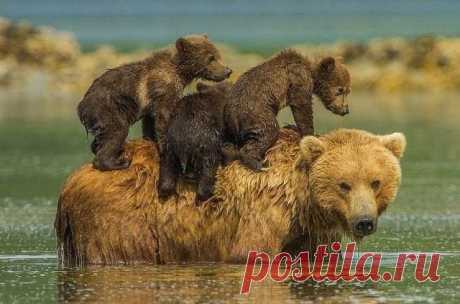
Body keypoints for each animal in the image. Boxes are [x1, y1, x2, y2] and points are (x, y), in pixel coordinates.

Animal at [54, 127, 406, 264]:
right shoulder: (263, 213)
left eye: (375, 182)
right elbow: (251, 252)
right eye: (343, 184)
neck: (301, 201)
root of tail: (71, 180)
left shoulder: (309, 232)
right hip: (119, 221)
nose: (363, 222)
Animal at [77, 34, 234, 171]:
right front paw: (165, 149)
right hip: (107, 107)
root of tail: (81, 106)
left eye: (217, 55)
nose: (228, 71)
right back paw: (117, 162)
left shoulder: (151, 103)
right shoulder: (163, 89)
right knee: (117, 131)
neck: (180, 72)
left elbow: (150, 122)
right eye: (210, 58)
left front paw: (151, 140)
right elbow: (163, 117)